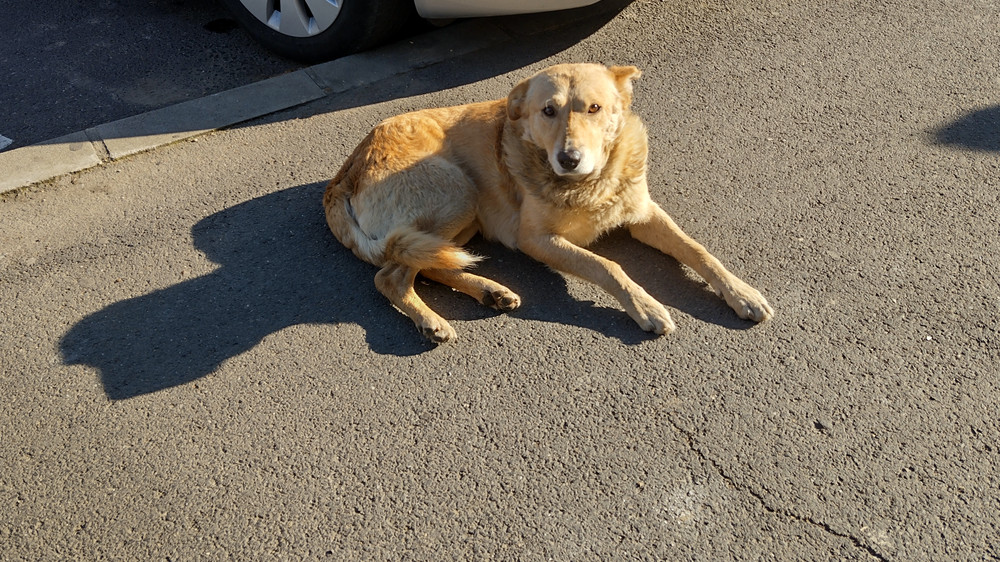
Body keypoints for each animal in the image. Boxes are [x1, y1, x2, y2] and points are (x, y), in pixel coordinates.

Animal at [322, 62, 772, 342]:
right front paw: (645, 304)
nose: (568, 158)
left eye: (594, 108)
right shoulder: (535, 240)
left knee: (428, 263)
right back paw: (432, 320)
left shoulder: (643, 215)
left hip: (460, 222)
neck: (588, 183)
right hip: (458, 193)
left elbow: (699, 252)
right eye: (548, 111)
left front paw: (741, 292)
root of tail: (343, 175)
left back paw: (490, 291)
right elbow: (608, 266)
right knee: (391, 276)